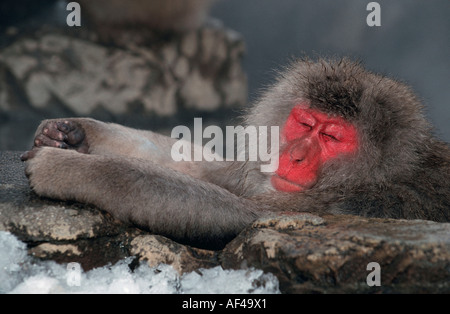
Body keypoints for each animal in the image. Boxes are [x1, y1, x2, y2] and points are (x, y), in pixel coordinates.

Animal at [21, 58, 450, 250]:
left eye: (332, 136)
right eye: (305, 123)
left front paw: (66, 168)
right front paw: (75, 133)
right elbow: (213, 171)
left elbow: (243, 215)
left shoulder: (362, 200)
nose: (294, 156)